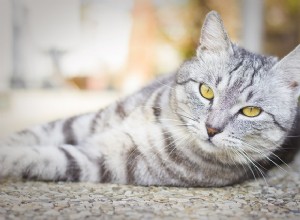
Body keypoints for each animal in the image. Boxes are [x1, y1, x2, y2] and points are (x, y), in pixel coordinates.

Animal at [0, 11, 300, 186]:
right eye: (206, 91)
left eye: (251, 111)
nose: (212, 128)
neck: (162, 119)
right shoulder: (85, 122)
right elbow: (34, 133)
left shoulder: (106, 160)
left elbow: (41, 156)